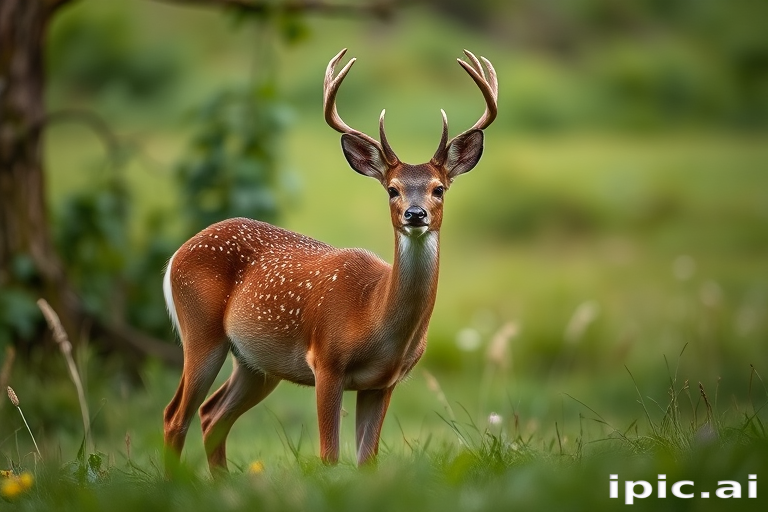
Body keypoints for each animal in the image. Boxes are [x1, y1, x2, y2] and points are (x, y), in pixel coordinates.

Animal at [162, 48, 497, 474]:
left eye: (439, 189)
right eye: (392, 189)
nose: (415, 214)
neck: (373, 315)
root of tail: (178, 252)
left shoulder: (383, 382)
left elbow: (367, 460)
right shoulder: (325, 360)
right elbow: (329, 456)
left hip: (256, 363)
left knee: (212, 415)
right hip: (202, 332)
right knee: (176, 415)